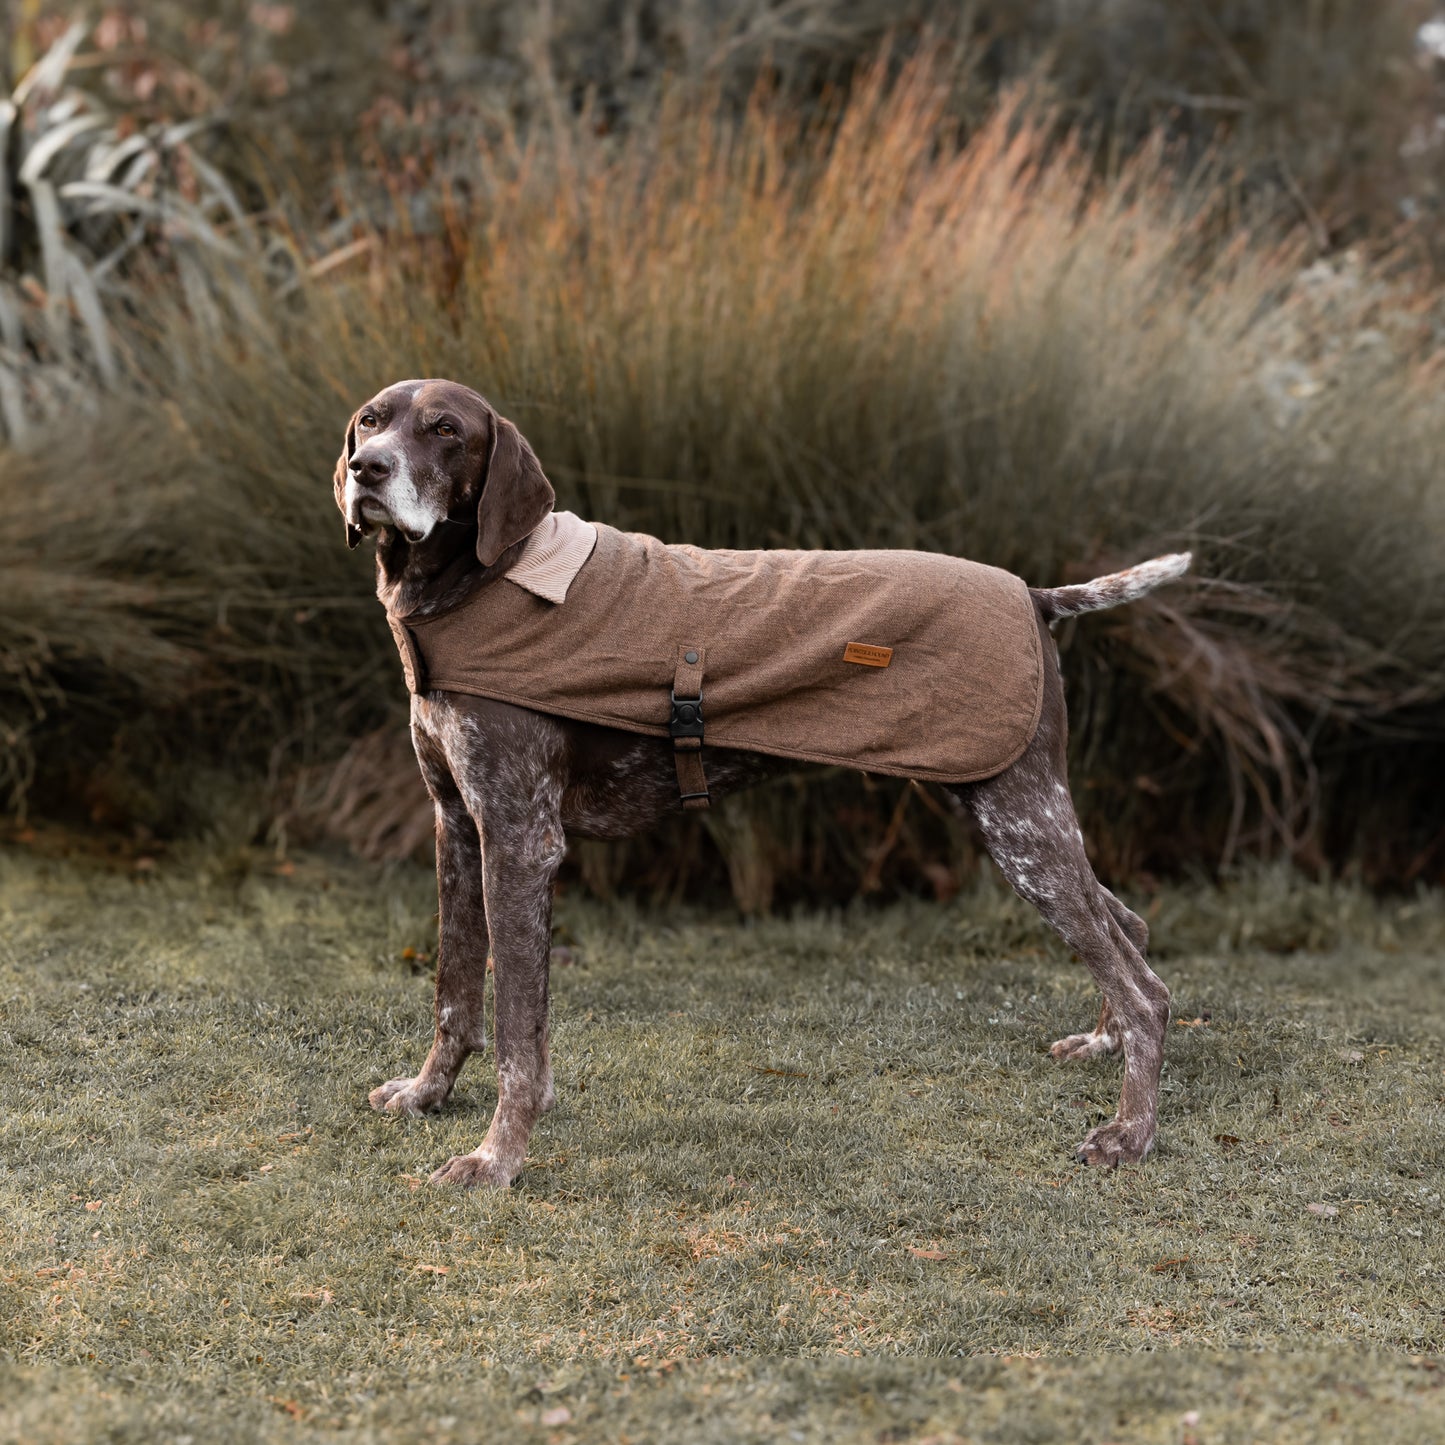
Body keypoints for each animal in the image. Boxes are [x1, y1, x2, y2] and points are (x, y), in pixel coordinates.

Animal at [332, 375, 1190, 1184]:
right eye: (371, 420)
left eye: (446, 430)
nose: (366, 468)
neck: (475, 585)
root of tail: (1034, 595)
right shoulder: (457, 824)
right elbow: (453, 991)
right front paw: (428, 1093)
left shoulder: (520, 840)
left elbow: (517, 1032)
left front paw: (497, 1157)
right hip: (1012, 812)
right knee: (1129, 927)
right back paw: (1103, 1044)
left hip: (1019, 821)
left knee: (1147, 986)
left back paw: (1129, 1131)